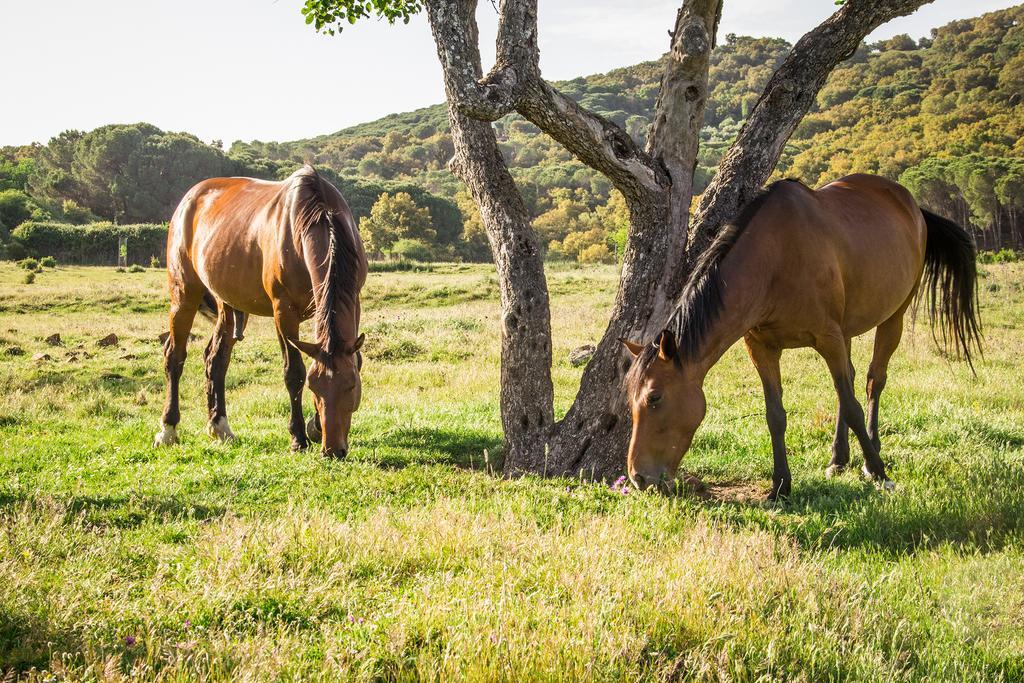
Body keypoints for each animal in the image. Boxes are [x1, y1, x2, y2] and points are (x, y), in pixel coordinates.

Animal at [152, 163, 368, 458]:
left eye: (351, 385)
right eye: (315, 387)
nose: (332, 450)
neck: (317, 217)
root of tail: (189, 199)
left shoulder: (352, 302)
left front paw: (314, 428)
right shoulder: (283, 311)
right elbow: (294, 373)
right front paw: (298, 437)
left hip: (227, 304)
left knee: (215, 359)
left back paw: (220, 427)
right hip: (184, 293)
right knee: (175, 356)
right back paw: (168, 429)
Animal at [618, 174, 978, 499]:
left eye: (654, 398)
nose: (638, 477)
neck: (775, 260)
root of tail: (912, 205)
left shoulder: (827, 337)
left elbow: (852, 407)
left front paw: (879, 473)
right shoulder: (762, 347)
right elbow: (775, 415)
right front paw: (780, 486)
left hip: (893, 317)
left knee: (873, 381)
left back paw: (870, 451)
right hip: (846, 332)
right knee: (849, 380)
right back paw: (839, 458)